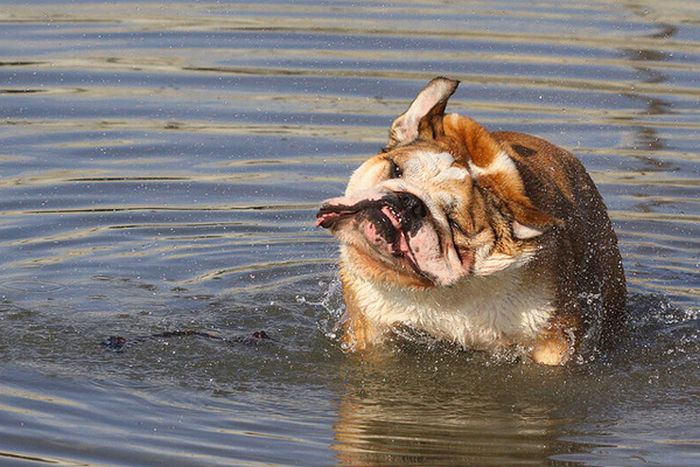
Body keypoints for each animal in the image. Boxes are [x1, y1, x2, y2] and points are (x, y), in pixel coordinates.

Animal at [314, 77, 628, 366]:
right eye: (396, 170)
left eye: (454, 224)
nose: (409, 203)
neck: (442, 293)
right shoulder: (370, 329)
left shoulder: (555, 338)